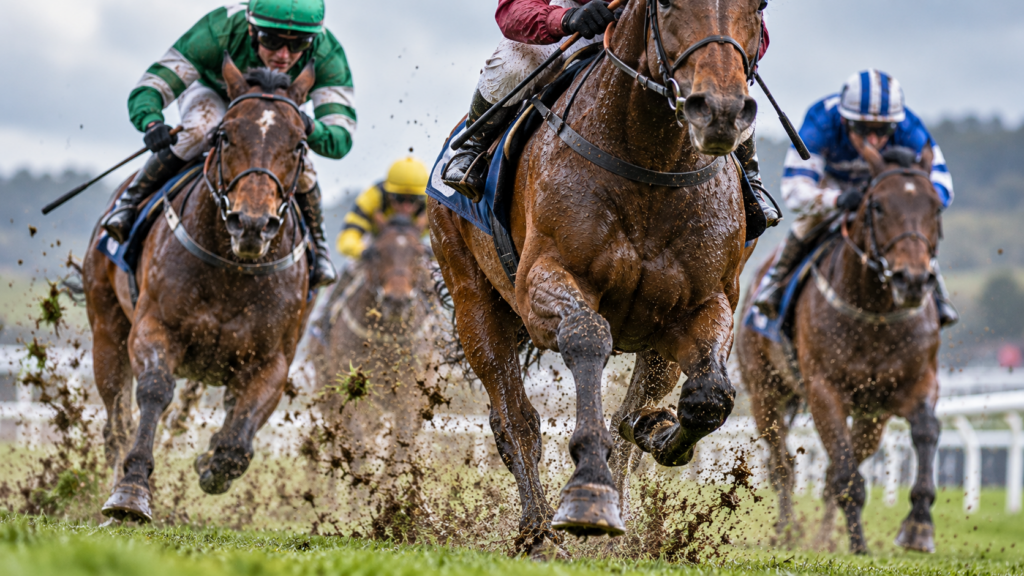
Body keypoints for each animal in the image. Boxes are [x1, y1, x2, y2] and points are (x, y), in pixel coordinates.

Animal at [82, 56, 316, 522]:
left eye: (299, 144)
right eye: (225, 135)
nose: (252, 223)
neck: (234, 270)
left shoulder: (273, 360)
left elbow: (239, 440)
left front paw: (212, 463)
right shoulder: (154, 326)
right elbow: (154, 389)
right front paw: (131, 490)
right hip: (106, 328)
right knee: (116, 421)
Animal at [307, 216, 436, 473]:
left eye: (419, 254)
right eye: (376, 253)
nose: (397, 301)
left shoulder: (410, 397)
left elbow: (399, 449)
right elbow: (356, 441)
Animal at [430, 0, 765, 556]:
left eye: (758, 8)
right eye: (666, 4)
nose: (719, 112)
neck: (649, 161)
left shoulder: (704, 303)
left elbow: (708, 398)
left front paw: (655, 429)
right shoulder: (544, 282)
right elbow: (587, 337)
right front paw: (588, 494)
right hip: (474, 302)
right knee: (514, 421)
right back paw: (540, 531)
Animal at [737, 144, 943, 554]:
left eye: (935, 206)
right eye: (877, 206)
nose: (912, 280)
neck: (875, 313)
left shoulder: (916, 382)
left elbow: (927, 430)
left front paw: (919, 525)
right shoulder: (823, 390)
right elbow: (845, 473)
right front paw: (859, 543)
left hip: (871, 415)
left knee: (834, 466)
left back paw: (821, 537)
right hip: (763, 391)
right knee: (783, 465)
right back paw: (788, 531)